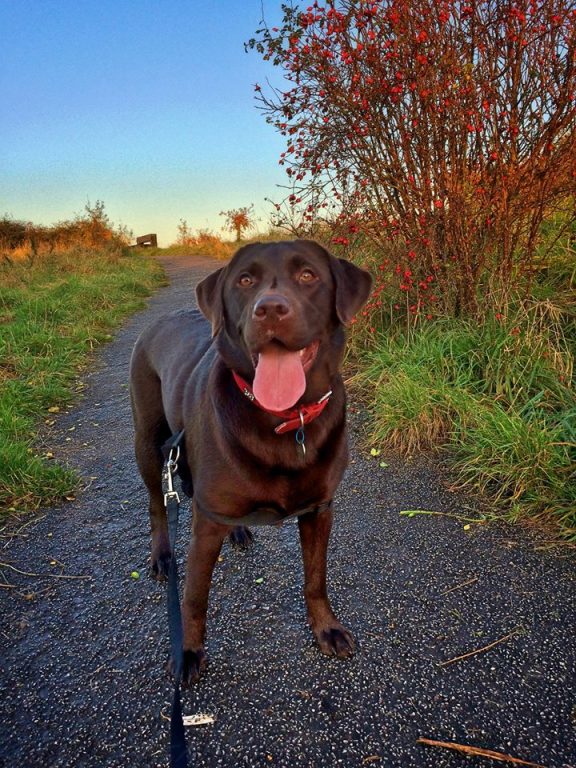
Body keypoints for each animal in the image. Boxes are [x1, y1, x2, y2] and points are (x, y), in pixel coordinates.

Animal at [129, 240, 374, 684]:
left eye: (308, 275)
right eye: (245, 280)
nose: (271, 309)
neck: (285, 419)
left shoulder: (320, 510)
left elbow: (316, 578)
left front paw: (326, 628)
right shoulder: (206, 525)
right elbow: (194, 595)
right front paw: (187, 652)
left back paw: (239, 531)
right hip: (149, 444)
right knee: (158, 504)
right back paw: (161, 555)